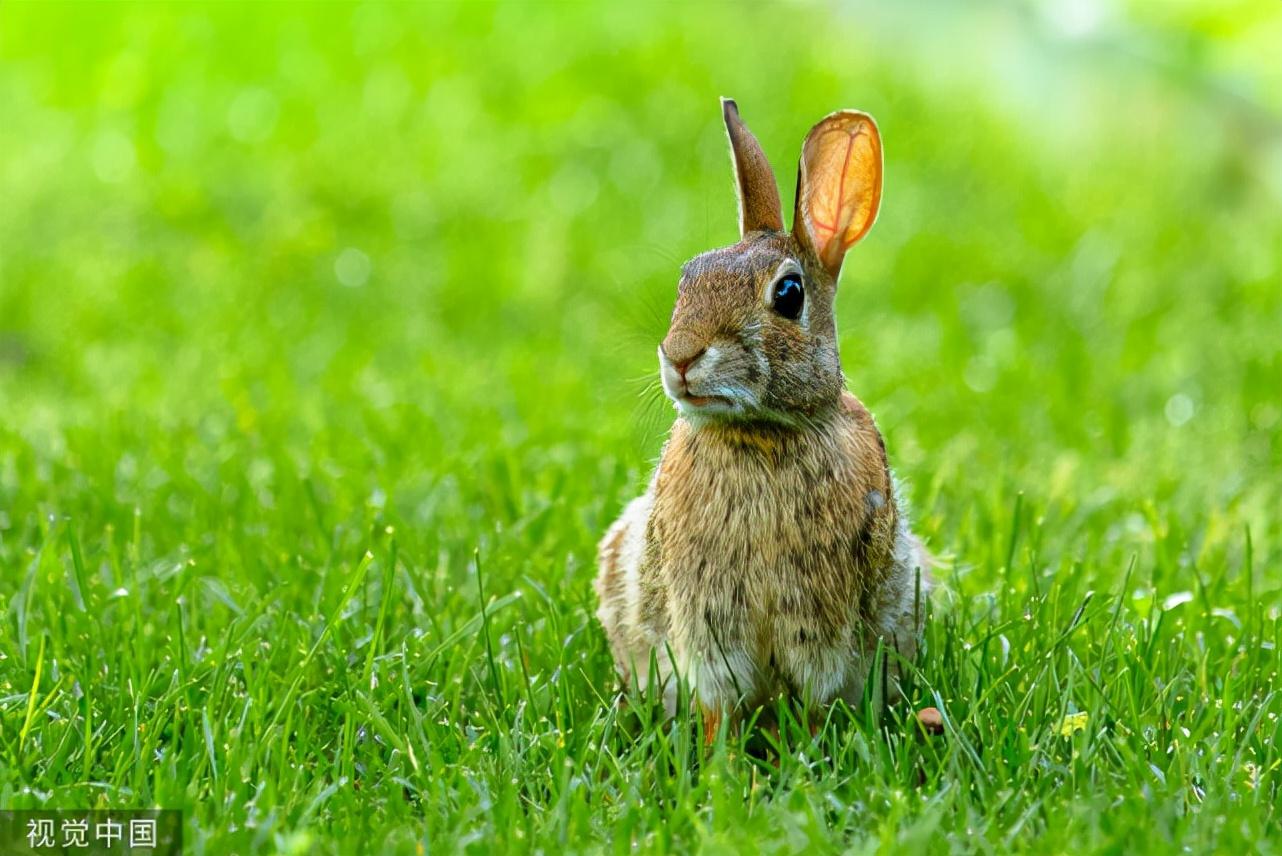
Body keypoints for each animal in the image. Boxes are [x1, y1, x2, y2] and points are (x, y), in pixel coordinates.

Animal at [594, 95, 928, 738]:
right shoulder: (705, 625)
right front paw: (719, 760)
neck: (763, 434)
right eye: (688, 276)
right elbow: (717, 704)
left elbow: (819, 700)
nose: (680, 356)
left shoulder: (822, 628)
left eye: (789, 295)